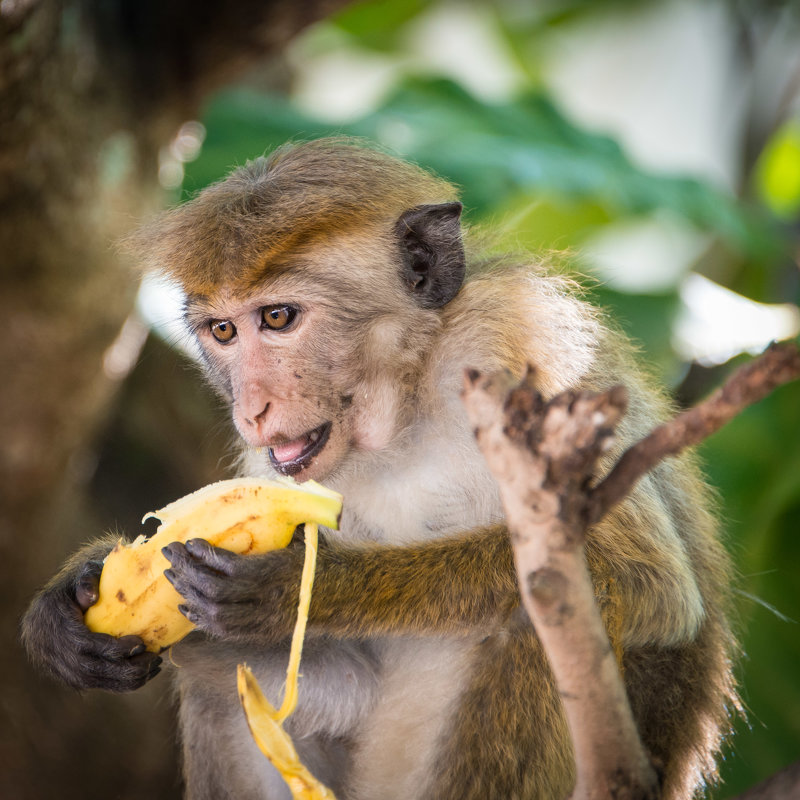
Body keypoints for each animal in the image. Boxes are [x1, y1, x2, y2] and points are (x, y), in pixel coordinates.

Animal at [21, 139, 740, 800]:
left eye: (277, 318)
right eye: (223, 331)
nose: (251, 408)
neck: (404, 411)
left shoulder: (513, 343)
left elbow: (646, 577)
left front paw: (304, 589)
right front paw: (69, 601)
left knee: (541, 607)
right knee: (223, 687)